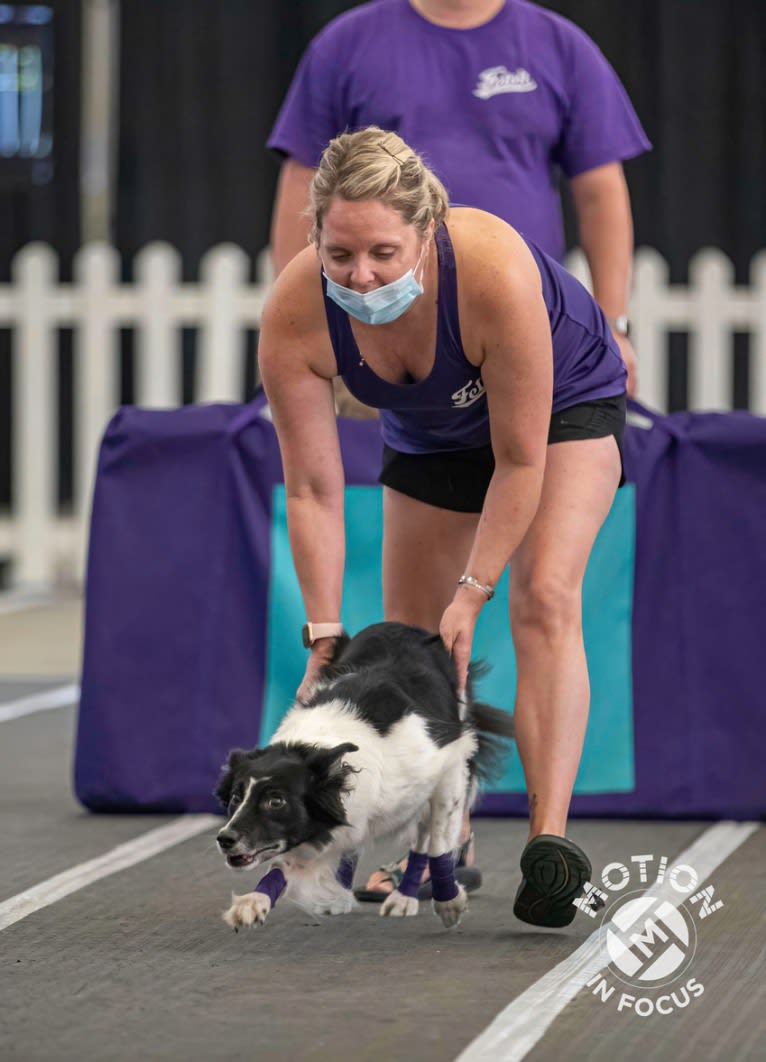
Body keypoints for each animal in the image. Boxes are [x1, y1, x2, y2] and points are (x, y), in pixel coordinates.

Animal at [214, 620, 514, 930]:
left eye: (276, 801)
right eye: (236, 797)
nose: (225, 838)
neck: (322, 742)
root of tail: (407, 627)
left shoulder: (449, 760)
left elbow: (438, 841)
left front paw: (449, 902)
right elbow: (282, 865)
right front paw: (253, 903)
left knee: (424, 835)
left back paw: (405, 896)